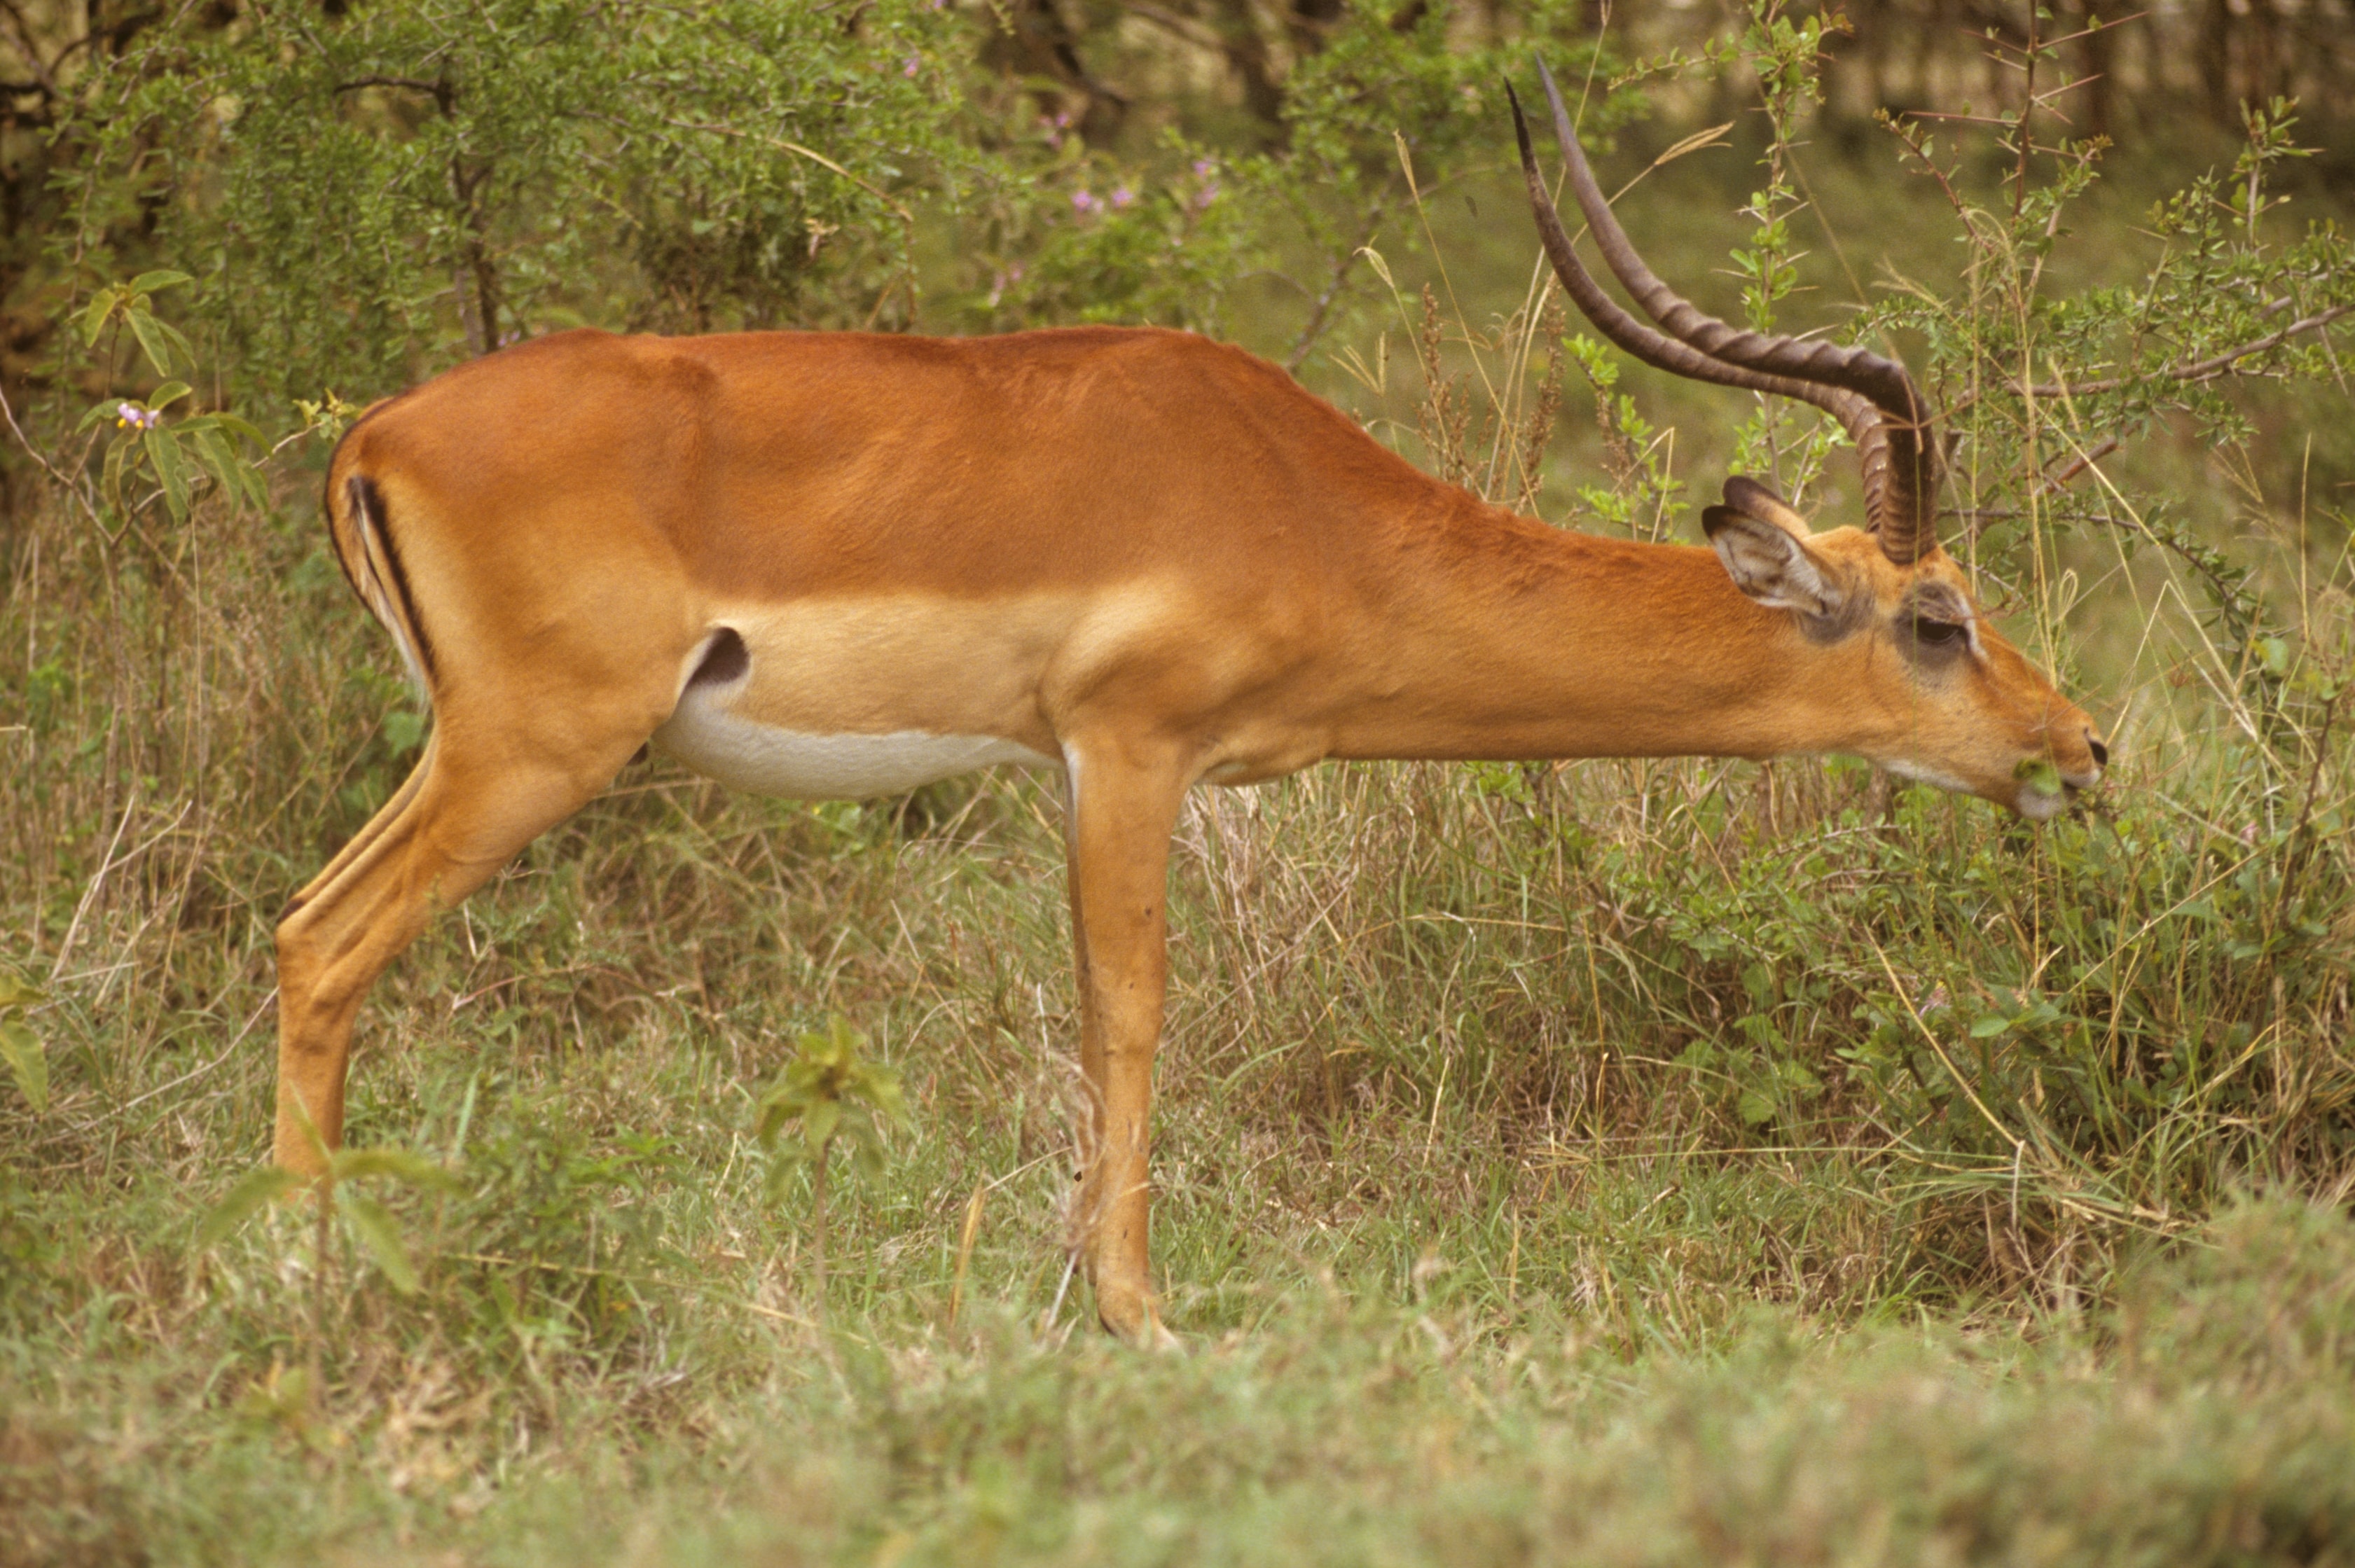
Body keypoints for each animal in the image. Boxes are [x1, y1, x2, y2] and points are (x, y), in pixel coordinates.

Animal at [274, 65, 2104, 1345]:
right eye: (1939, 617)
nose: (2081, 748)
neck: (1301, 505)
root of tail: (377, 433)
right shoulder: (1128, 752)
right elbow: (1136, 1013)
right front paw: (1139, 1311)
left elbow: (1093, 1015)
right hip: (535, 749)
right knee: (327, 943)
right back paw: (301, 1268)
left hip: (475, 748)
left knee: (303, 921)